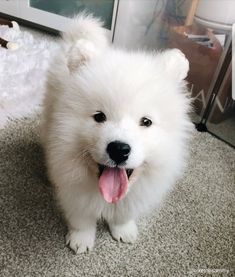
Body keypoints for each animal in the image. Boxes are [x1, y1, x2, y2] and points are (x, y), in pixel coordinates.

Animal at [41, 14, 193, 252]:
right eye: (99, 117)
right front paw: (81, 240)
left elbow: (124, 214)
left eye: (146, 122)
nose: (119, 149)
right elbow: (82, 218)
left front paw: (124, 231)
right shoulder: (74, 191)